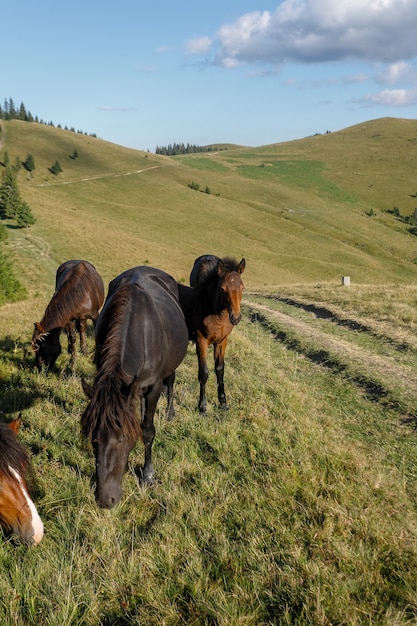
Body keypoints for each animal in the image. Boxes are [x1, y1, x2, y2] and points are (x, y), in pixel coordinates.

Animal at [80, 264, 188, 508]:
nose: (105, 500)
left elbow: (147, 431)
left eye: (121, 438)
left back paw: (170, 413)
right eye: (93, 437)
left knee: (171, 382)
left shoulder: (153, 386)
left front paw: (147, 475)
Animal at [178, 251, 244, 412]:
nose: (236, 317)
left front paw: (223, 402)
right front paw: (202, 406)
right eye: (222, 288)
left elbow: (220, 369)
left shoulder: (221, 341)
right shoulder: (201, 341)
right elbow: (204, 372)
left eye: (242, 288)